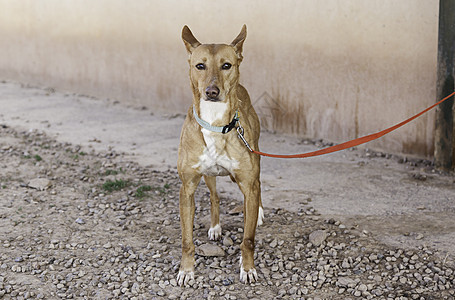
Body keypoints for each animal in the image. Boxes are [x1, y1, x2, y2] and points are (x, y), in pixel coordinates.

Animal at [177, 24, 264, 284]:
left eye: (227, 65)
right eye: (200, 66)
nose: (212, 92)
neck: (215, 124)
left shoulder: (248, 184)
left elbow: (248, 239)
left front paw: (248, 269)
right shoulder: (187, 188)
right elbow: (187, 240)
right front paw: (186, 270)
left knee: (259, 186)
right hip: (208, 176)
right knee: (215, 197)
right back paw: (215, 227)